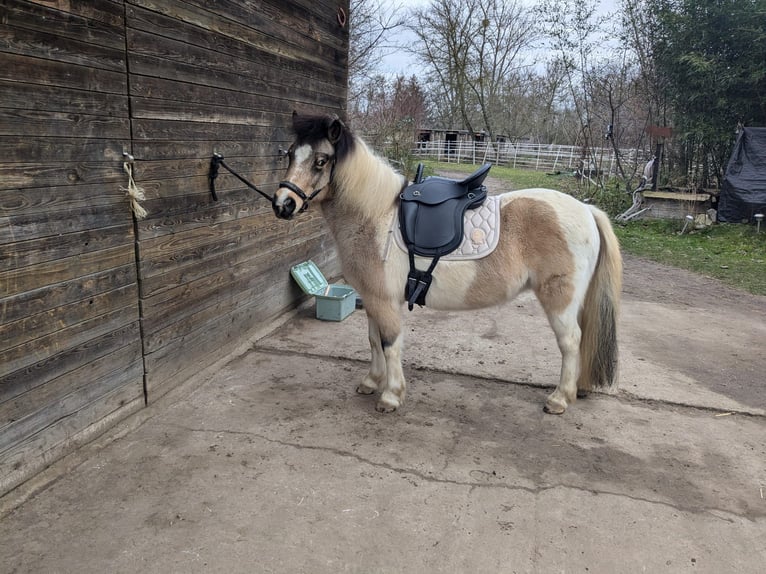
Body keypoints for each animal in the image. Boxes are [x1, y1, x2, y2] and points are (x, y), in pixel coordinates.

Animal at [272, 112, 622, 415]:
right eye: (290, 154)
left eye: (320, 160)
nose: (282, 204)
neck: (375, 217)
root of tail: (587, 210)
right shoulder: (372, 299)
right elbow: (373, 341)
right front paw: (372, 382)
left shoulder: (385, 301)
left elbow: (389, 343)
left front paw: (391, 395)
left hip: (560, 300)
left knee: (571, 341)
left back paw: (560, 399)